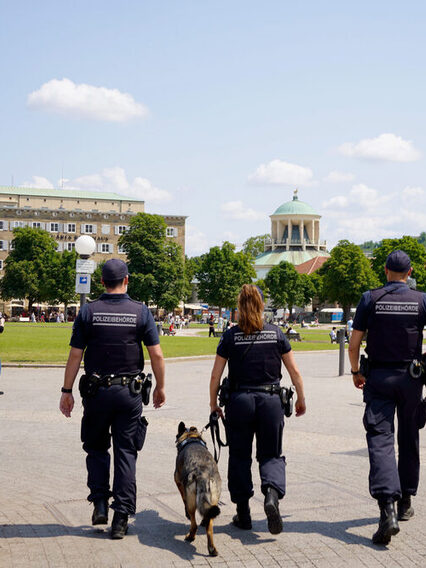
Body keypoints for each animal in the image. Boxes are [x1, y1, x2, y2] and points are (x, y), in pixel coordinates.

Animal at [174, 420, 221, 556]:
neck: (191, 438)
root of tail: (203, 475)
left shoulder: (178, 482)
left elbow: (183, 499)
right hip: (213, 501)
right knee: (209, 527)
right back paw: (212, 549)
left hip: (191, 503)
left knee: (193, 523)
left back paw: (190, 537)